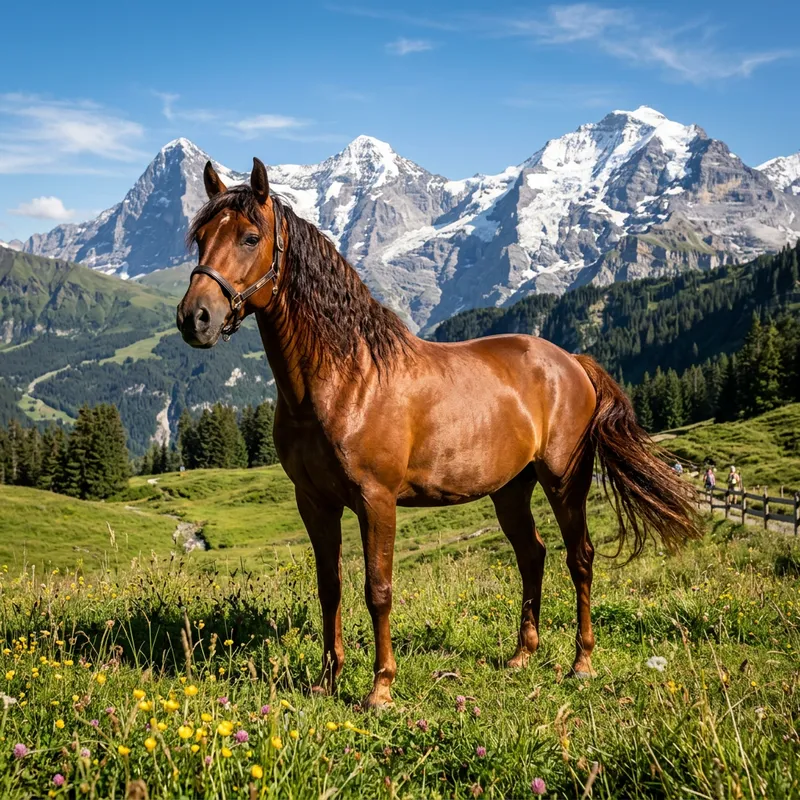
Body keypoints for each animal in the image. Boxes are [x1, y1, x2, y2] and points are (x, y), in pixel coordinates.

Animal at [176, 157, 700, 708]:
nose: (195, 318)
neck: (345, 377)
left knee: (580, 558)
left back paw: (582, 663)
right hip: (511, 489)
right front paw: (326, 680)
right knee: (531, 554)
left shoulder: (376, 500)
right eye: (201, 238)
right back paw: (522, 655)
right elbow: (329, 587)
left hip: (564, 482)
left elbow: (377, 589)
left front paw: (380, 688)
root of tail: (571, 362)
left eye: (250, 237)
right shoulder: (314, 501)